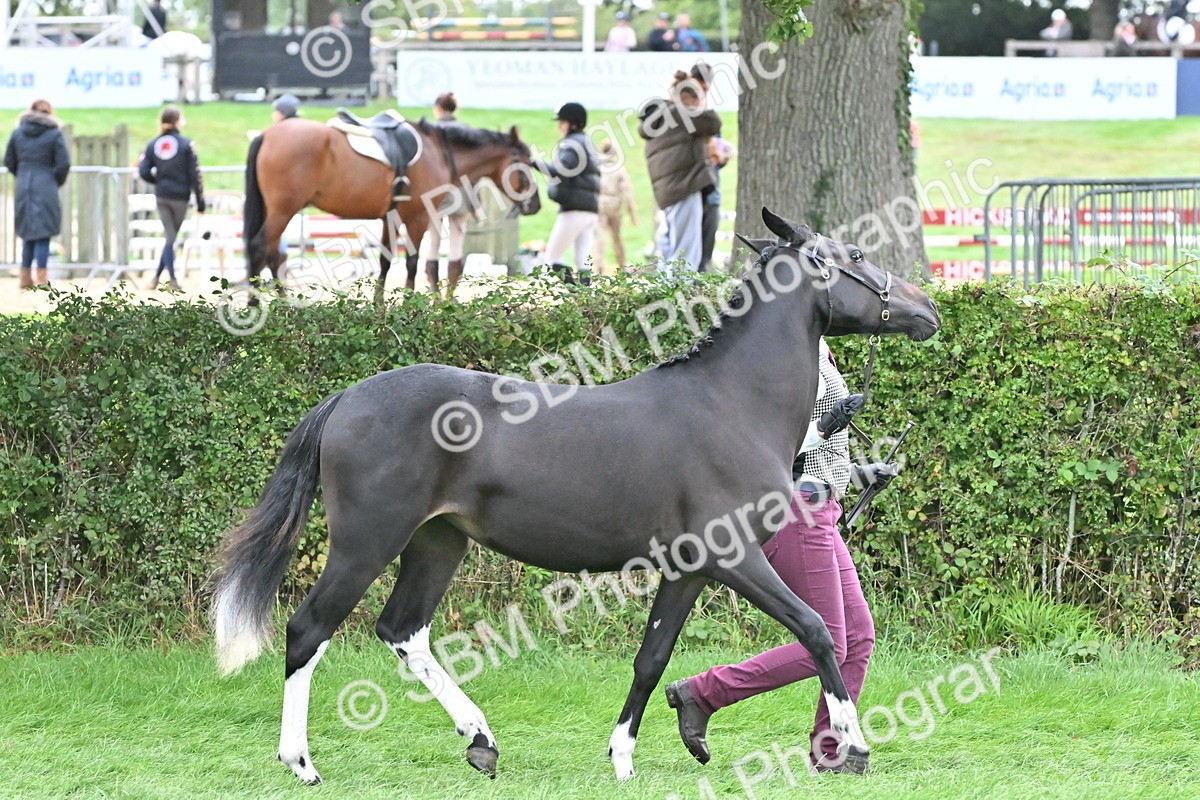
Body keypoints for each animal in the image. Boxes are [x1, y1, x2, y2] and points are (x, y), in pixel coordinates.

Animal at [211, 207, 942, 785]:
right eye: (856, 257)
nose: (927, 310)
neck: (732, 405)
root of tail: (344, 400)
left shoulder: (688, 571)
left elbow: (651, 659)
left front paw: (622, 756)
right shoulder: (736, 560)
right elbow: (817, 631)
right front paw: (854, 743)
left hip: (436, 542)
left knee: (402, 631)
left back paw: (481, 741)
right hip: (367, 542)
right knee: (309, 629)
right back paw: (302, 763)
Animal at [241, 117, 542, 300]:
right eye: (526, 163)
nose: (536, 204)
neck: (438, 152)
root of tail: (267, 135)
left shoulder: (390, 217)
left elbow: (385, 262)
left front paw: (379, 307)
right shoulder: (418, 218)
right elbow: (412, 262)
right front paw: (409, 304)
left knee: (272, 255)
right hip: (283, 210)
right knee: (261, 248)